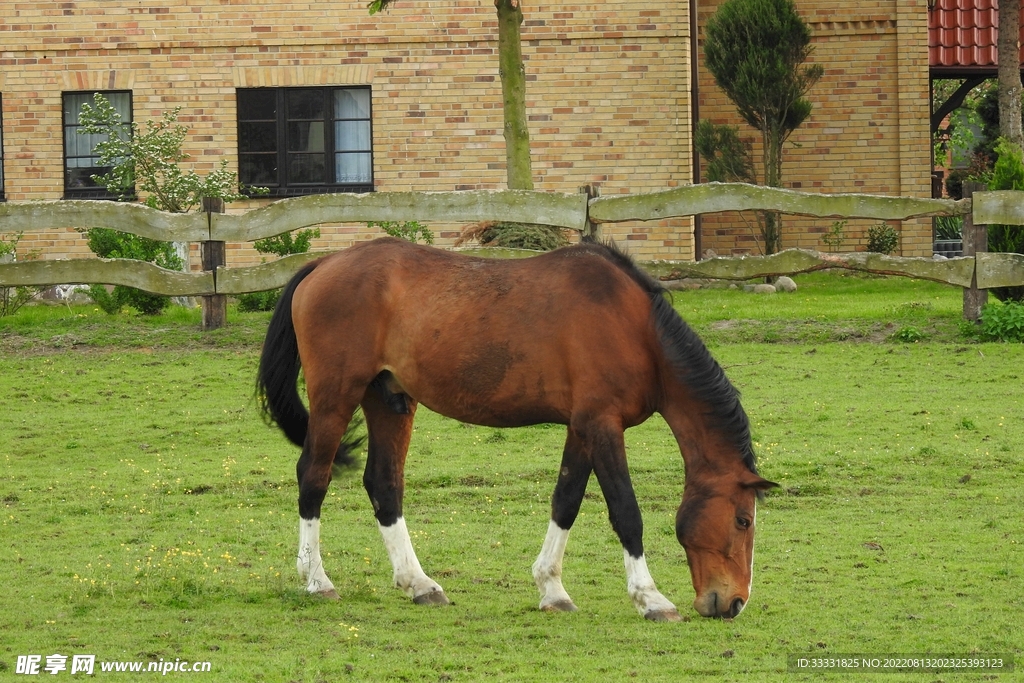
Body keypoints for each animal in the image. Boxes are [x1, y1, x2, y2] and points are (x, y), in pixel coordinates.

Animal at [257, 237, 777, 621]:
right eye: (743, 520)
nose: (734, 603)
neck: (635, 329)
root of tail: (323, 264)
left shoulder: (582, 427)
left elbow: (566, 501)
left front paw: (552, 589)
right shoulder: (603, 425)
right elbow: (626, 511)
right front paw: (651, 599)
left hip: (389, 400)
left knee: (384, 484)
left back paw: (419, 584)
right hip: (336, 396)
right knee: (314, 475)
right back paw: (317, 580)